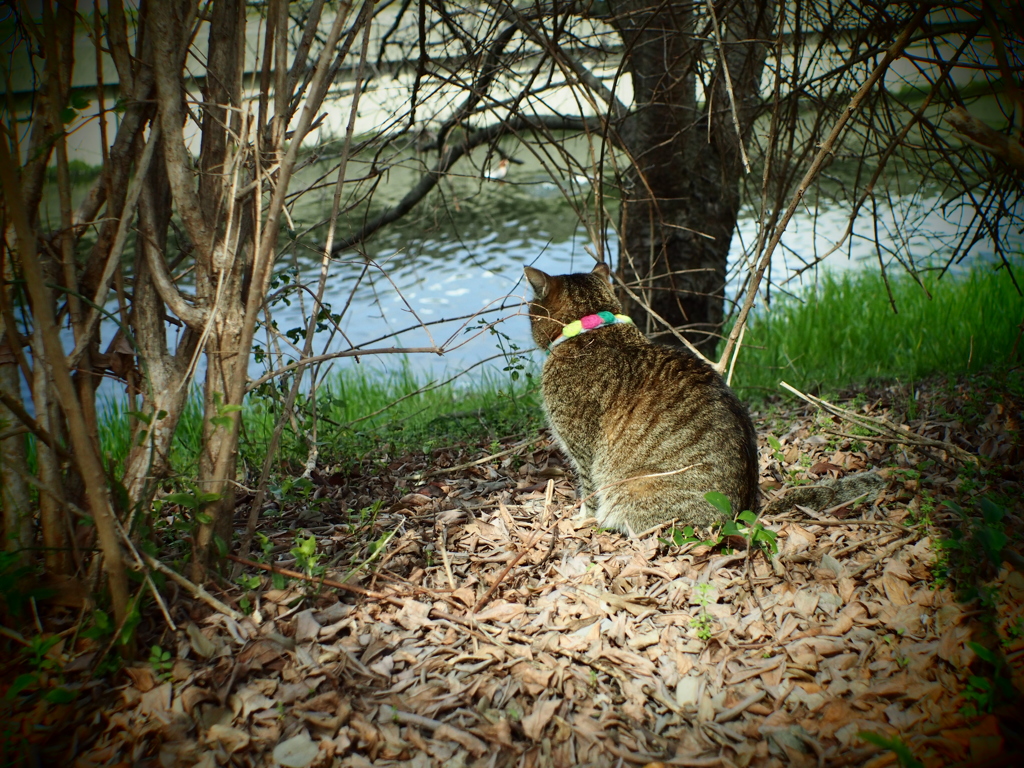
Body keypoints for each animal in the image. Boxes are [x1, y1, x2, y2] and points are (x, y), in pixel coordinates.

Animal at [528, 262, 761, 532]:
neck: (592, 327)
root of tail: (736, 517)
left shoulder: (583, 450)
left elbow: (589, 491)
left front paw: (583, 519)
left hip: (631, 487)